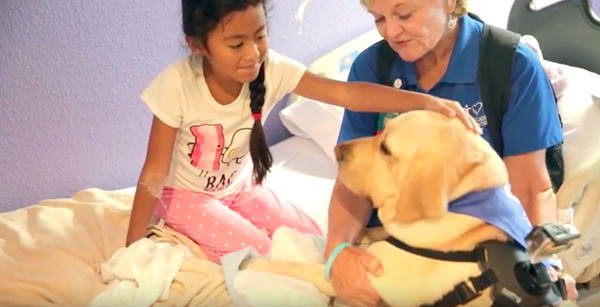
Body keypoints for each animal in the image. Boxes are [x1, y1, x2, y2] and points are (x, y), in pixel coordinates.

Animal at [240, 110, 576, 307]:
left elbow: (293, 268)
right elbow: (374, 232)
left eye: (386, 149)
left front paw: (252, 265)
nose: (338, 150)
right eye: (382, 129)